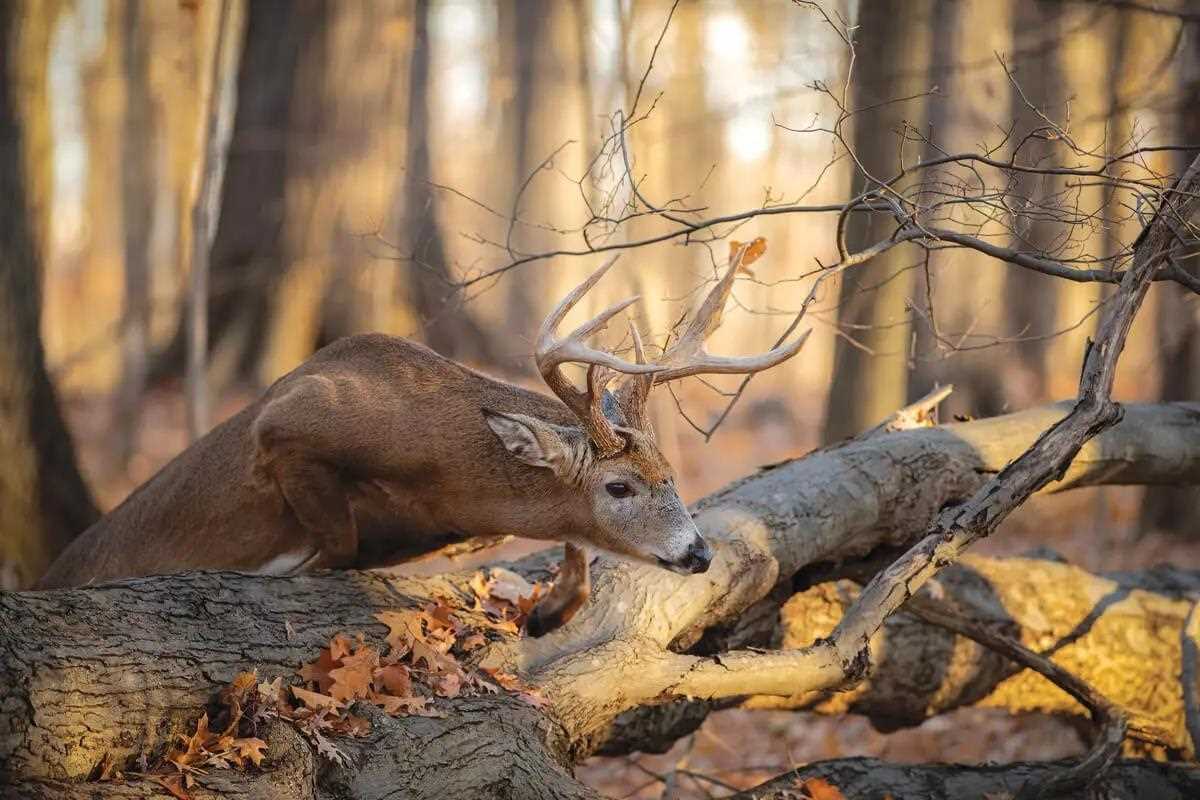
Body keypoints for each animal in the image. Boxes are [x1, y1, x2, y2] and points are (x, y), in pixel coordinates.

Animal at [38, 248, 808, 634]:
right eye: (618, 486)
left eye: (672, 474)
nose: (697, 552)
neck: (445, 483)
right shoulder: (285, 423)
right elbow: (338, 543)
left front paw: (549, 609)